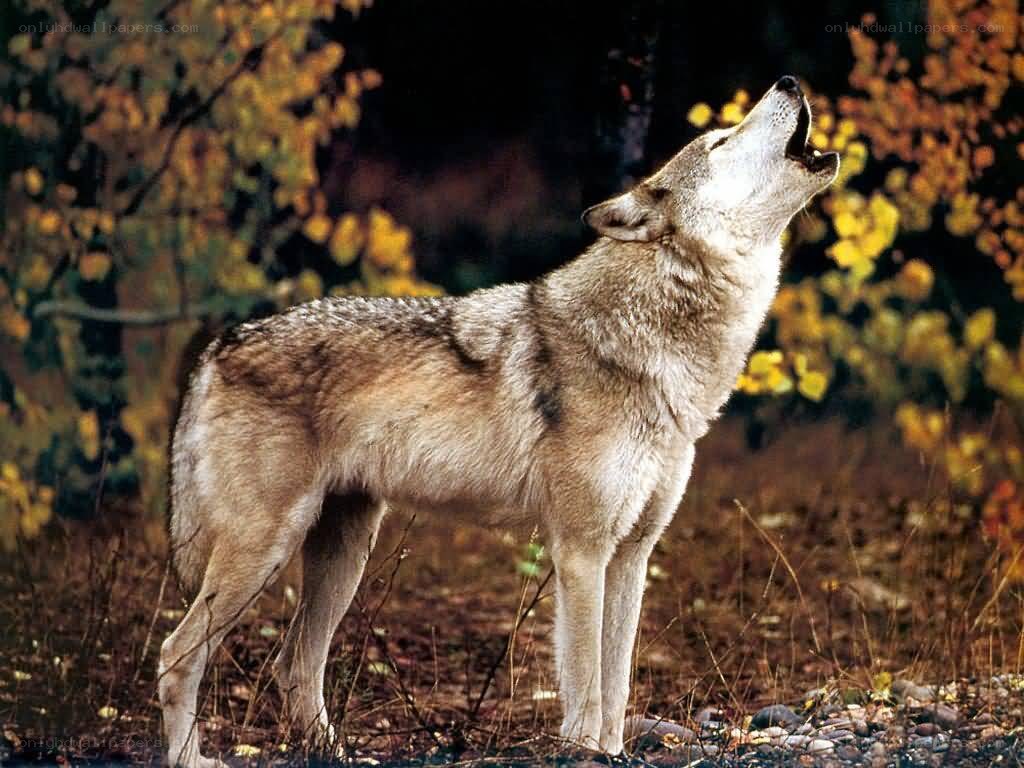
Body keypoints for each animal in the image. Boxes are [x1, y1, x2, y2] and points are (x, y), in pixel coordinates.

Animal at [158, 76, 838, 766]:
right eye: (720, 140)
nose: (788, 82)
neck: (655, 345)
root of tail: (222, 343)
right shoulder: (581, 552)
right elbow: (587, 685)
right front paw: (586, 753)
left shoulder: (632, 555)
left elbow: (618, 686)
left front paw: (614, 752)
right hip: (263, 550)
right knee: (175, 655)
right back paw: (190, 756)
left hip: (344, 553)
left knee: (292, 662)